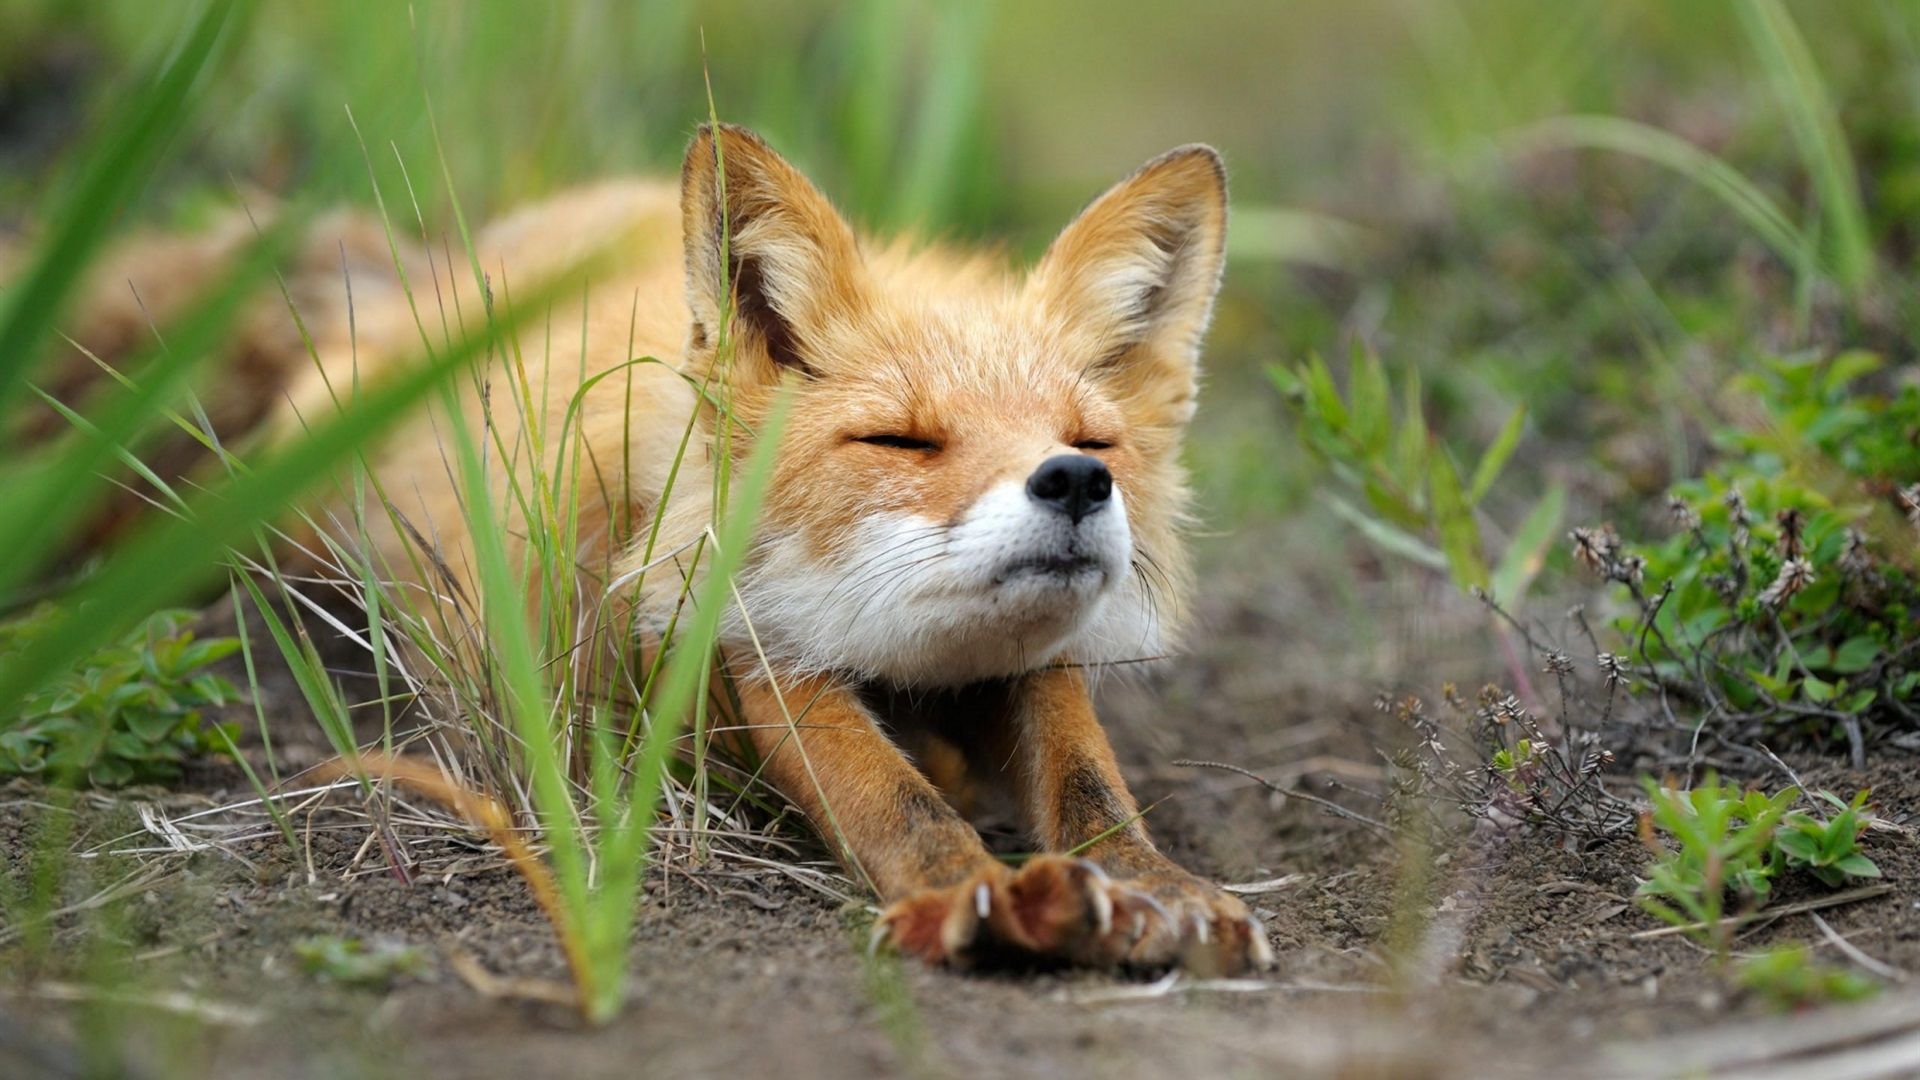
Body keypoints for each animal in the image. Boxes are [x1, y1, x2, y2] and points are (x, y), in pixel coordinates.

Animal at [39, 124, 1272, 974]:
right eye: (902, 439)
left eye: (1091, 441)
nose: (1075, 484)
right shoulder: (727, 642)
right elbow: (884, 789)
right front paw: (968, 892)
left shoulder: (1030, 660)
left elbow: (1086, 776)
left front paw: (1154, 885)